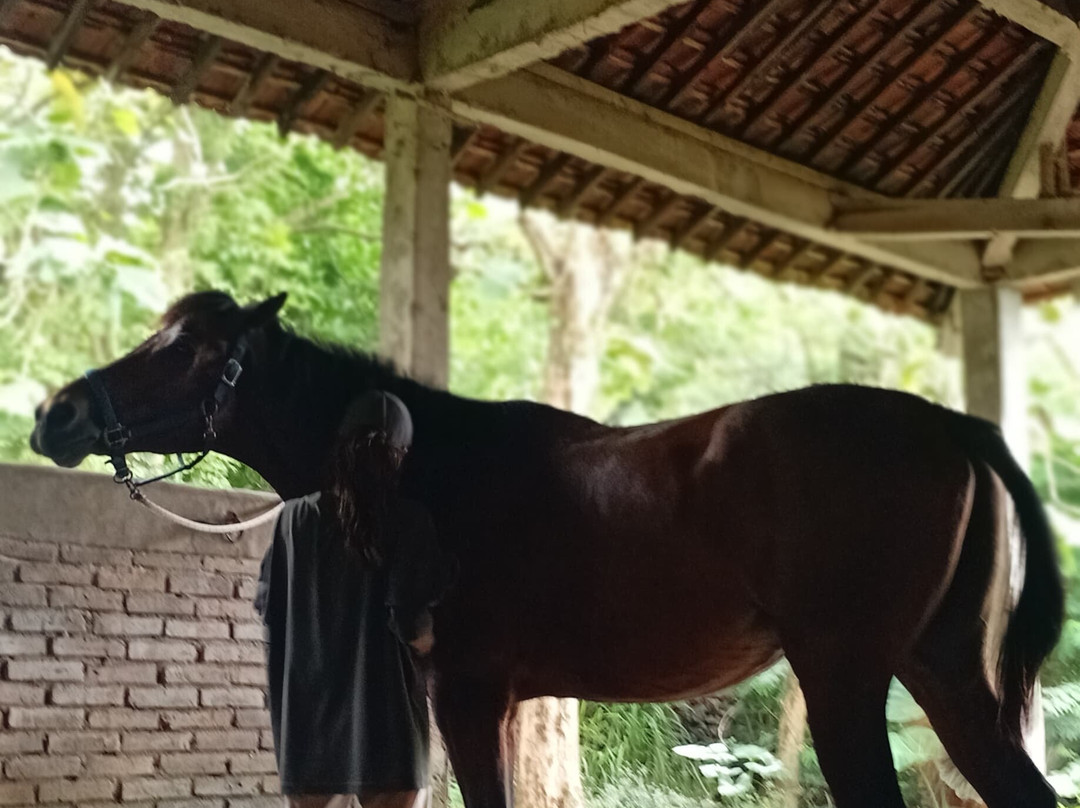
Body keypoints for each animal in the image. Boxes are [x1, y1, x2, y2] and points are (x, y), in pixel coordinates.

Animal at [30, 290, 1062, 808]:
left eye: (190, 350)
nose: (57, 414)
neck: (427, 469)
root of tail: (947, 424)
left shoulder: (469, 696)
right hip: (942, 674)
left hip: (846, 677)